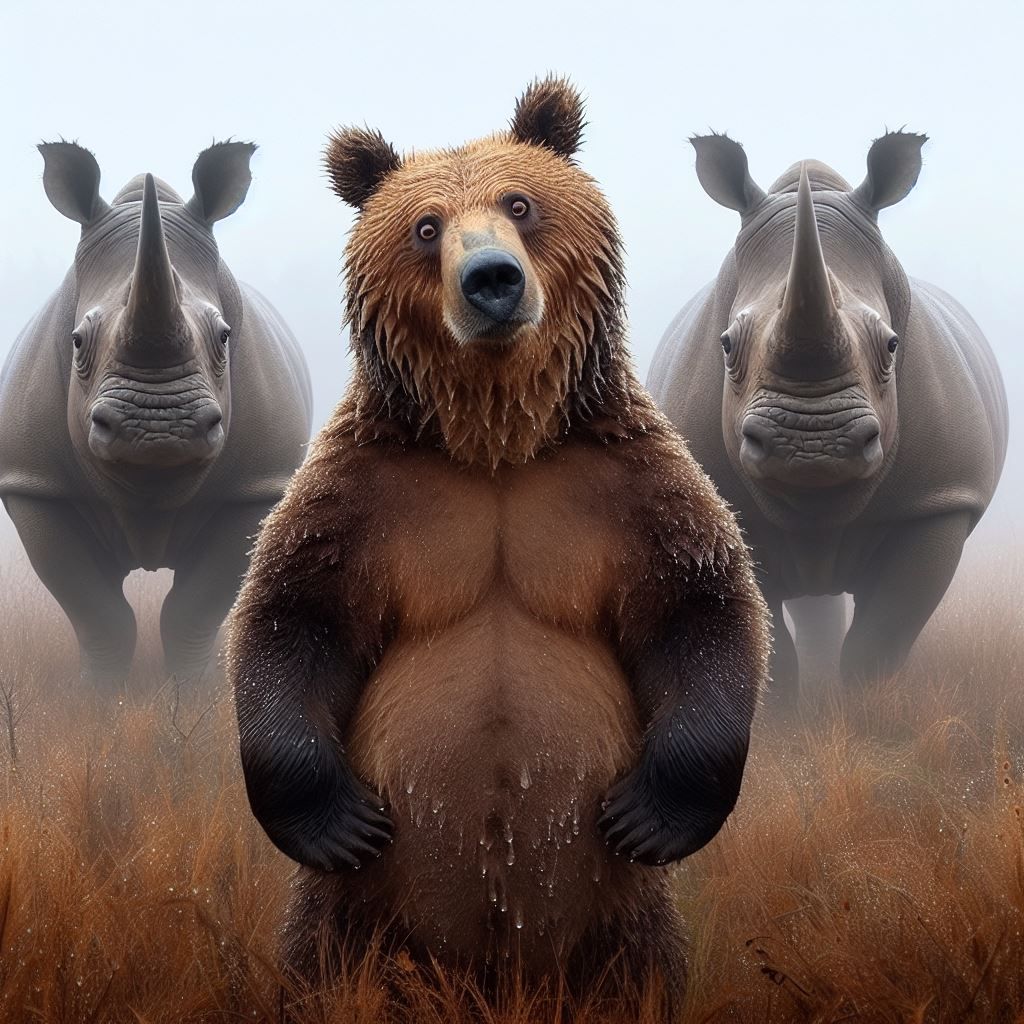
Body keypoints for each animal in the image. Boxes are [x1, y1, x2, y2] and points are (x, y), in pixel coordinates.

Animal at [0, 142, 312, 689]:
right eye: (76, 341)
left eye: (226, 337)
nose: (158, 428)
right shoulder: (36, 483)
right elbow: (99, 614)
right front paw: (98, 699)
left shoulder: (255, 486)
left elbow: (193, 609)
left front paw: (196, 696)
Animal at [226, 77, 770, 1018]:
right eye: (426, 225)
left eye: (520, 203)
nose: (492, 280)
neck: (495, 439)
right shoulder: (363, 489)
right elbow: (293, 616)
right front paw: (338, 819)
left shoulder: (623, 477)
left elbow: (700, 605)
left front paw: (650, 811)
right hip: (352, 920)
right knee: (323, 963)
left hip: (622, 922)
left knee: (641, 972)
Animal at [648, 133, 1007, 698]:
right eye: (725, 345)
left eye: (892, 345)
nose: (810, 443)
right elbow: (764, 638)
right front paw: (783, 713)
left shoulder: (939, 498)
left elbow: (884, 633)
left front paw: (864, 706)